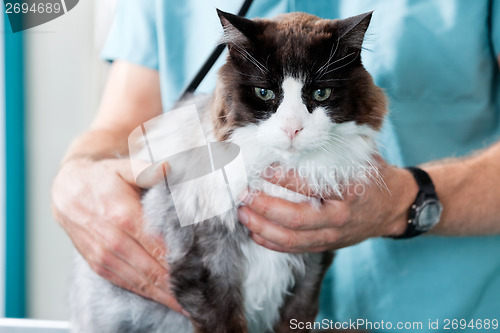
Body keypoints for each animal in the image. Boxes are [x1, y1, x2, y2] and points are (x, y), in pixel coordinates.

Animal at [68, 7, 386, 332]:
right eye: (264, 93)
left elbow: (294, 318)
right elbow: (223, 320)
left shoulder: (310, 267)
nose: (292, 129)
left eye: (321, 93)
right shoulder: (206, 263)